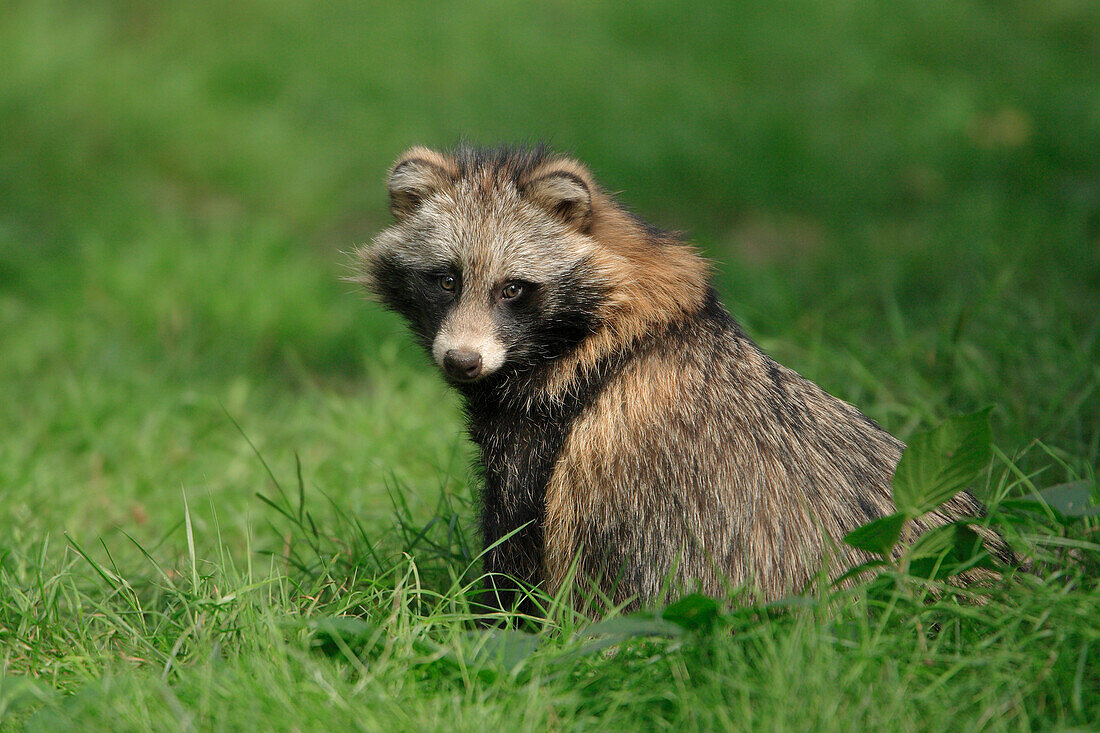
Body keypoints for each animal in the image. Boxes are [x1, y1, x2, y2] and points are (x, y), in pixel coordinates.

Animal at [354, 143, 990, 611]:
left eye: (513, 288)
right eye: (446, 279)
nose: (462, 360)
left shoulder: (546, 439)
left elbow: (517, 554)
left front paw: (492, 623)